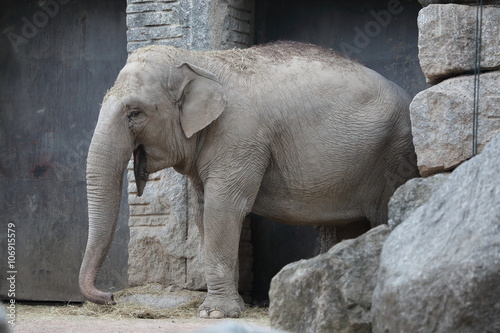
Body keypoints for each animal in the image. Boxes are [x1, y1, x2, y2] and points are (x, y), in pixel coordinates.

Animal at [79, 42, 418, 320]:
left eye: (135, 112)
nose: (110, 296)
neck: (199, 60)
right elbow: (204, 210)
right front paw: (231, 307)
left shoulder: (240, 136)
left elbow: (223, 209)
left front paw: (215, 314)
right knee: (352, 228)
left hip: (394, 156)